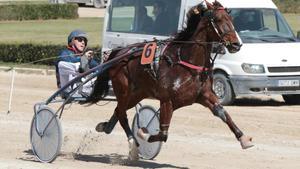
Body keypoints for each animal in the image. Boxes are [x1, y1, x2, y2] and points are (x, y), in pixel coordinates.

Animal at [87, 0, 253, 160]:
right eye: (218, 19)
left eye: (231, 19)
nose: (236, 44)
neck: (187, 62)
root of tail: (119, 52)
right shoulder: (167, 100)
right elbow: (163, 134)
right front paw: (143, 133)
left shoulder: (204, 95)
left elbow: (222, 113)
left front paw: (243, 138)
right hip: (123, 89)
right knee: (122, 114)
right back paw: (133, 146)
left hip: (138, 93)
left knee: (118, 110)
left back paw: (105, 126)